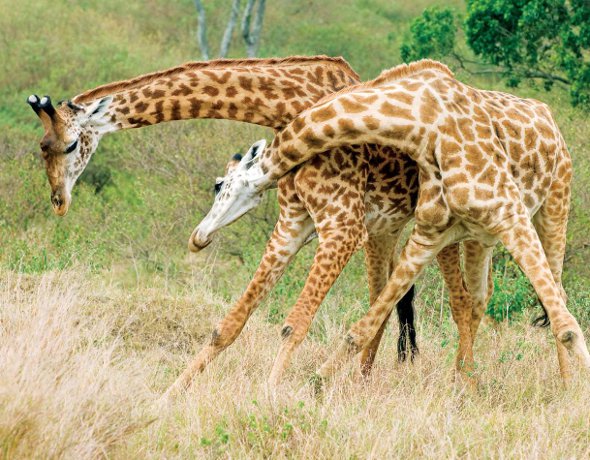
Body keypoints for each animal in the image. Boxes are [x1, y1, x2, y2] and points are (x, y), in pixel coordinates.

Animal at [177, 59, 590, 390]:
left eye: (218, 184)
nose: (197, 237)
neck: (420, 121)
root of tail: (547, 113)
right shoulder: (424, 232)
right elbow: (358, 325)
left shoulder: (504, 211)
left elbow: (567, 325)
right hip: (478, 237)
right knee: (477, 297)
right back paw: (466, 384)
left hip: (553, 206)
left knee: (555, 295)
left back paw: (564, 385)